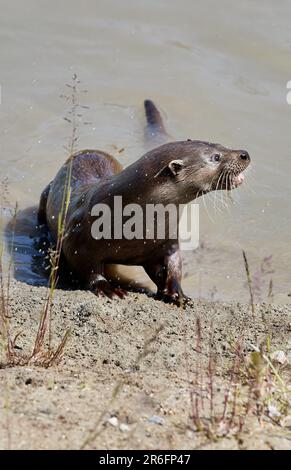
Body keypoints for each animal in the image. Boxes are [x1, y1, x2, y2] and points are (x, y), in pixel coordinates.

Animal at [37, 99, 250, 304]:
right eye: (216, 157)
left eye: (221, 145)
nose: (244, 154)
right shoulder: (78, 236)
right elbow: (87, 267)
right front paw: (107, 288)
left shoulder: (166, 240)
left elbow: (173, 265)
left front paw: (177, 294)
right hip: (46, 193)